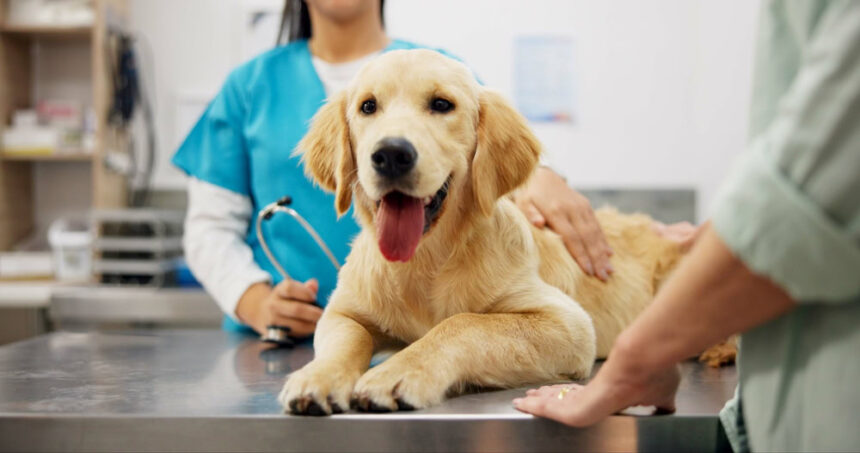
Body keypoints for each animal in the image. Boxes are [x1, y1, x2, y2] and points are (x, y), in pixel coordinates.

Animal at [282, 48, 704, 414]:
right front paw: (317, 378)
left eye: (441, 104)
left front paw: (399, 371)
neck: (426, 261)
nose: (390, 154)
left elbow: (463, 324)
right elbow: (344, 340)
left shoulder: (568, 323)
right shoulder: (343, 312)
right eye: (368, 106)